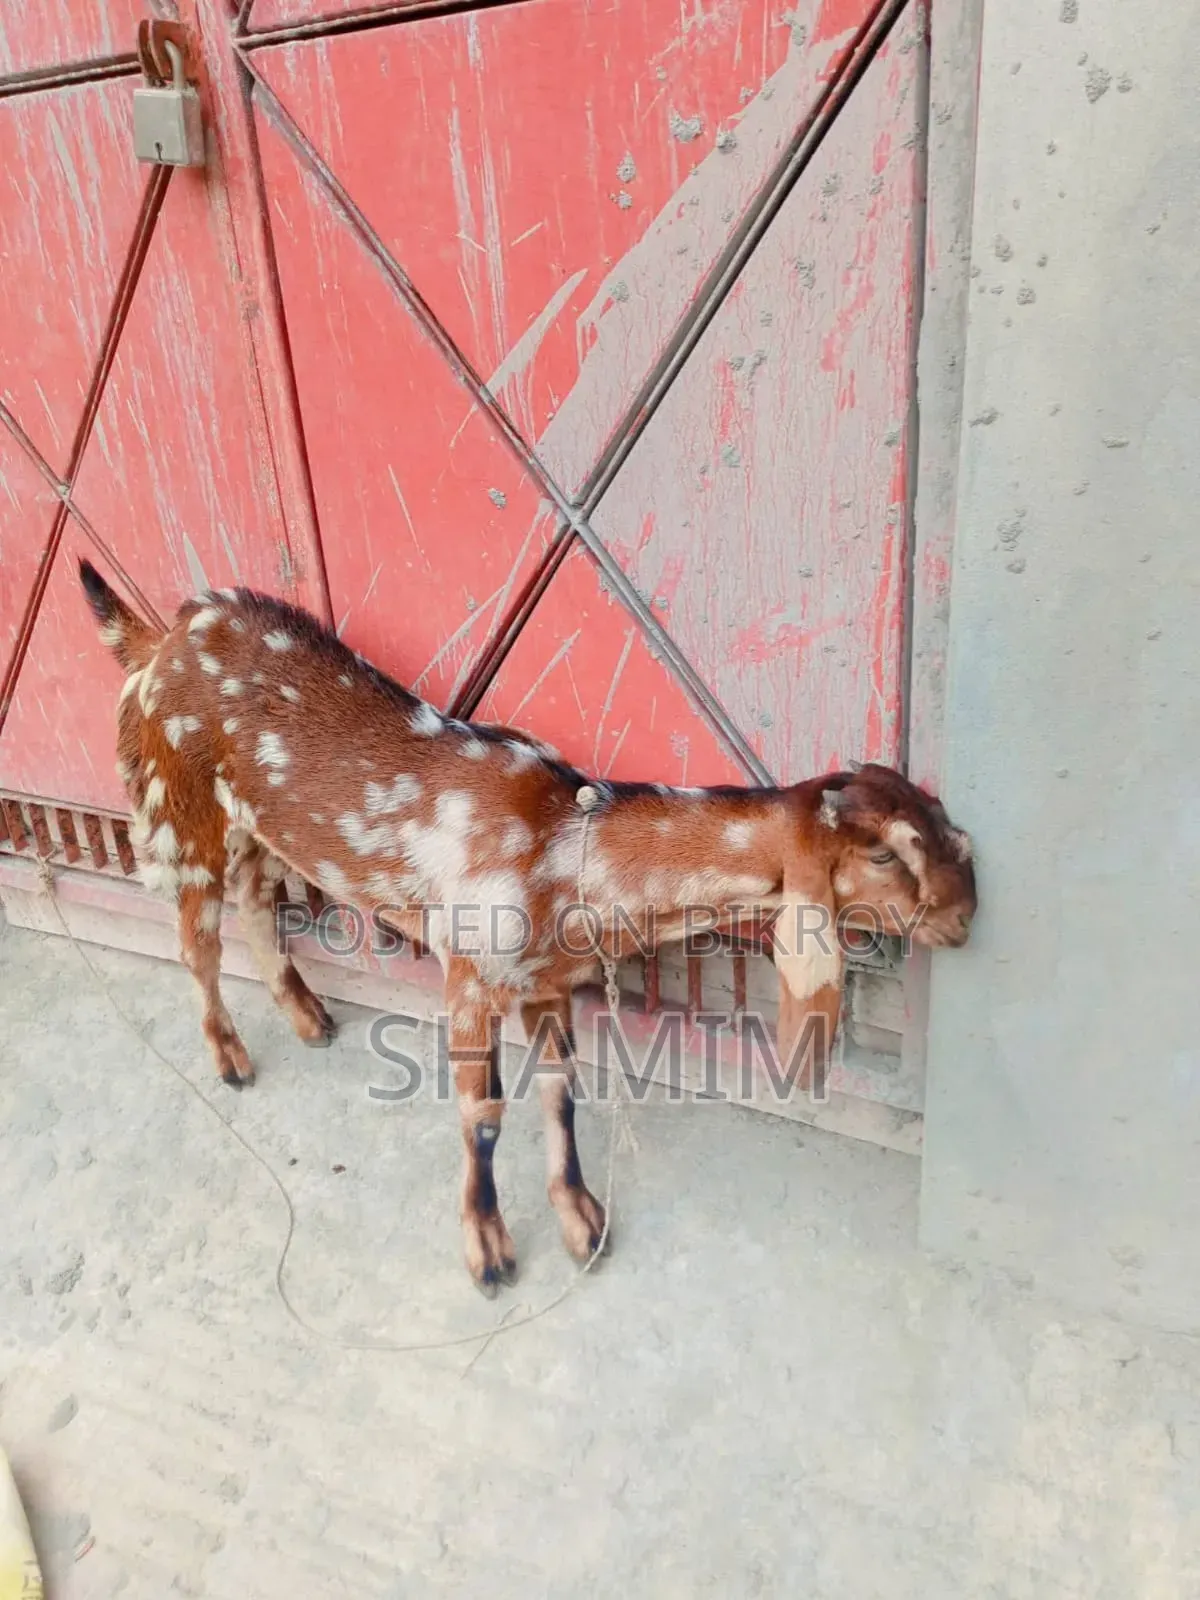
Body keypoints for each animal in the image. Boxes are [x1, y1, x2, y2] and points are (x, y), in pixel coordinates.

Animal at [78, 561, 977, 1292]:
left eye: (943, 821)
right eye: (883, 852)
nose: (966, 914)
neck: (563, 848)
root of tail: (158, 637)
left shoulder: (547, 982)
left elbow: (561, 1093)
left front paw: (581, 1219)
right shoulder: (470, 972)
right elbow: (483, 1115)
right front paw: (488, 1251)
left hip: (254, 825)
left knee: (257, 896)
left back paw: (306, 1015)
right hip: (176, 803)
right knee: (196, 935)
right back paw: (230, 1055)